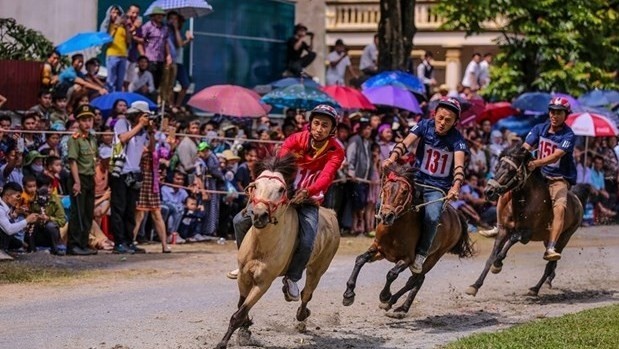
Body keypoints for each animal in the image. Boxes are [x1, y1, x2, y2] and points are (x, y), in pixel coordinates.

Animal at [217, 155, 344, 348]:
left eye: (281, 189)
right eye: (255, 185)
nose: (259, 215)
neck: (261, 245)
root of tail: (331, 214)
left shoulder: (263, 282)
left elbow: (238, 314)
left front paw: (223, 342)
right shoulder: (244, 276)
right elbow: (241, 307)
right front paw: (245, 329)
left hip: (318, 269)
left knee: (307, 294)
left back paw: (301, 313)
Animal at [342, 164, 472, 316]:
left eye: (404, 192)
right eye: (385, 189)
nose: (386, 215)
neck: (395, 230)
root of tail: (456, 215)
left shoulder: (408, 258)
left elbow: (392, 274)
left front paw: (385, 296)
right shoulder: (379, 250)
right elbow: (360, 259)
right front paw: (348, 294)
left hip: (434, 256)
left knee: (416, 279)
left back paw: (395, 304)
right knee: (418, 279)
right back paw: (398, 306)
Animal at [470, 145, 588, 296]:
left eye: (511, 170)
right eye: (496, 167)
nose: (488, 191)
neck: (524, 201)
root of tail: (577, 200)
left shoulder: (527, 233)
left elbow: (513, 239)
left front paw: (498, 264)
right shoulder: (503, 230)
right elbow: (491, 256)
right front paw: (475, 285)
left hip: (564, 238)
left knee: (550, 263)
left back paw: (535, 288)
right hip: (547, 239)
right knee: (553, 262)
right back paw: (548, 280)